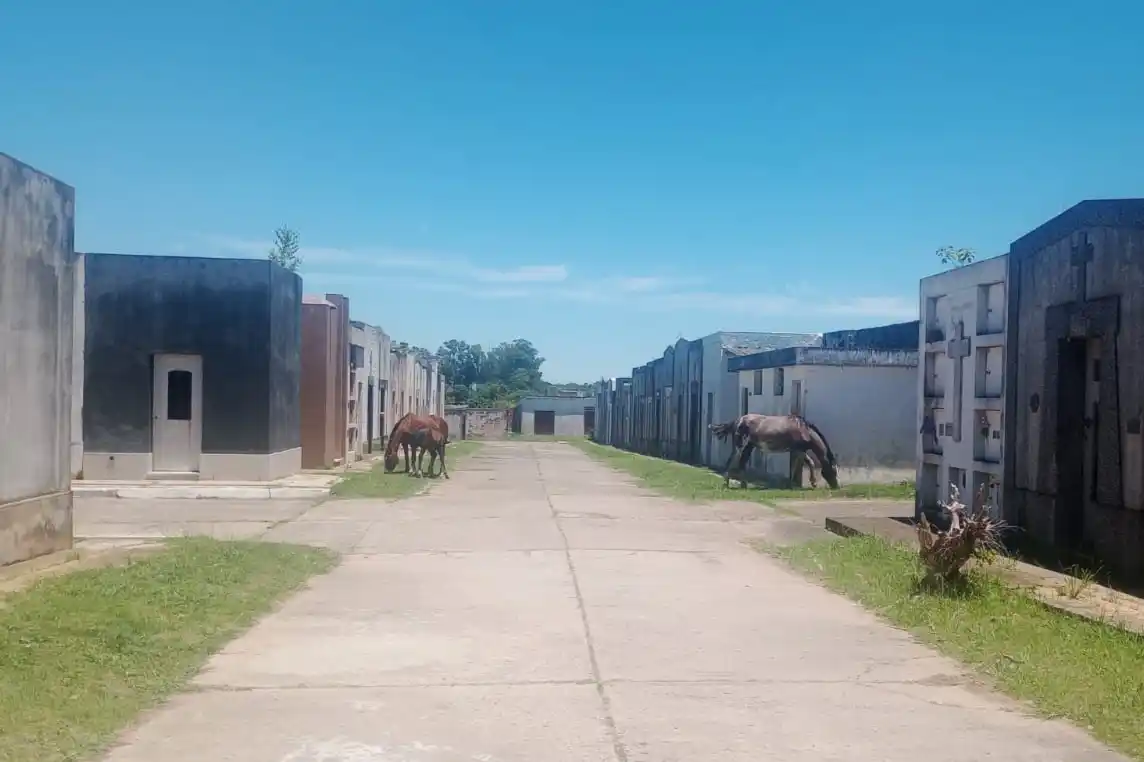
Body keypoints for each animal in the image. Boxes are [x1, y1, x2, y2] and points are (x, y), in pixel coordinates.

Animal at [708, 413, 840, 490]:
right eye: (834, 471)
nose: (836, 487)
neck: (804, 429)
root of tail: (738, 420)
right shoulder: (798, 450)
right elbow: (805, 463)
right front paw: (809, 483)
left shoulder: (797, 450)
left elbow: (801, 464)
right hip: (741, 446)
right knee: (733, 460)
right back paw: (729, 483)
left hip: (749, 447)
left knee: (741, 462)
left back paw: (740, 484)